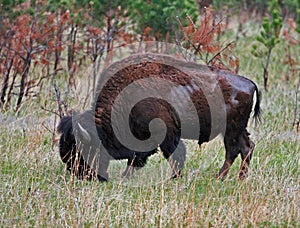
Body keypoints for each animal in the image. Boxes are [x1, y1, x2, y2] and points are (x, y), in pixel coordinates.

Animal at [56, 53, 260, 182]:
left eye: (81, 150)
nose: (83, 176)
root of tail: (249, 83)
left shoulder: (164, 133)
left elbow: (170, 154)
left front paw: (173, 178)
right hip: (236, 130)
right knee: (246, 147)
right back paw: (237, 178)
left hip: (231, 130)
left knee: (234, 150)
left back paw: (221, 177)